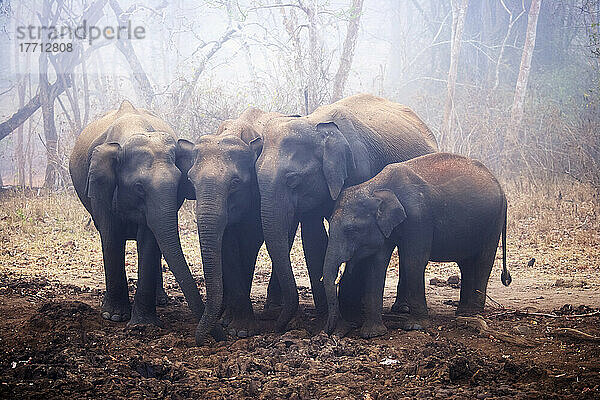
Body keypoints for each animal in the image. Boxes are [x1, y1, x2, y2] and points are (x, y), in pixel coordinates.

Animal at [68, 101, 223, 340]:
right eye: (139, 188)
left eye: (179, 183)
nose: (216, 336)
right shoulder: (100, 190)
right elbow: (111, 236)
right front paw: (114, 317)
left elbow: (150, 239)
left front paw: (144, 324)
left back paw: (161, 301)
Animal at [185, 108, 286, 346]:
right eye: (190, 181)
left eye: (235, 183)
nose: (205, 341)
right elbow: (227, 245)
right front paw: (230, 325)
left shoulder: (258, 196)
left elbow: (249, 243)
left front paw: (241, 330)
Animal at [255, 93, 438, 332]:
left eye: (292, 179)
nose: (278, 325)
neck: (316, 125)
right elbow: (314, 239)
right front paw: (324, 321)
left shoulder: (362, 170)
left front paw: (347, 317)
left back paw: (401, 308)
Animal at [324, 153, 510, 338]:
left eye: (352, 230)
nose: (328, 332)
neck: (376, 186)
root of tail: (501, 188)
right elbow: (377, 264)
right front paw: (373, 334)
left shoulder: (418, 218)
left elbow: (413, 261)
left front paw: (415, 326)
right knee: (467, 263)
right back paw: (463, 313)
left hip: (494, 221)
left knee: (483, 261)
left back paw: (472, 314)